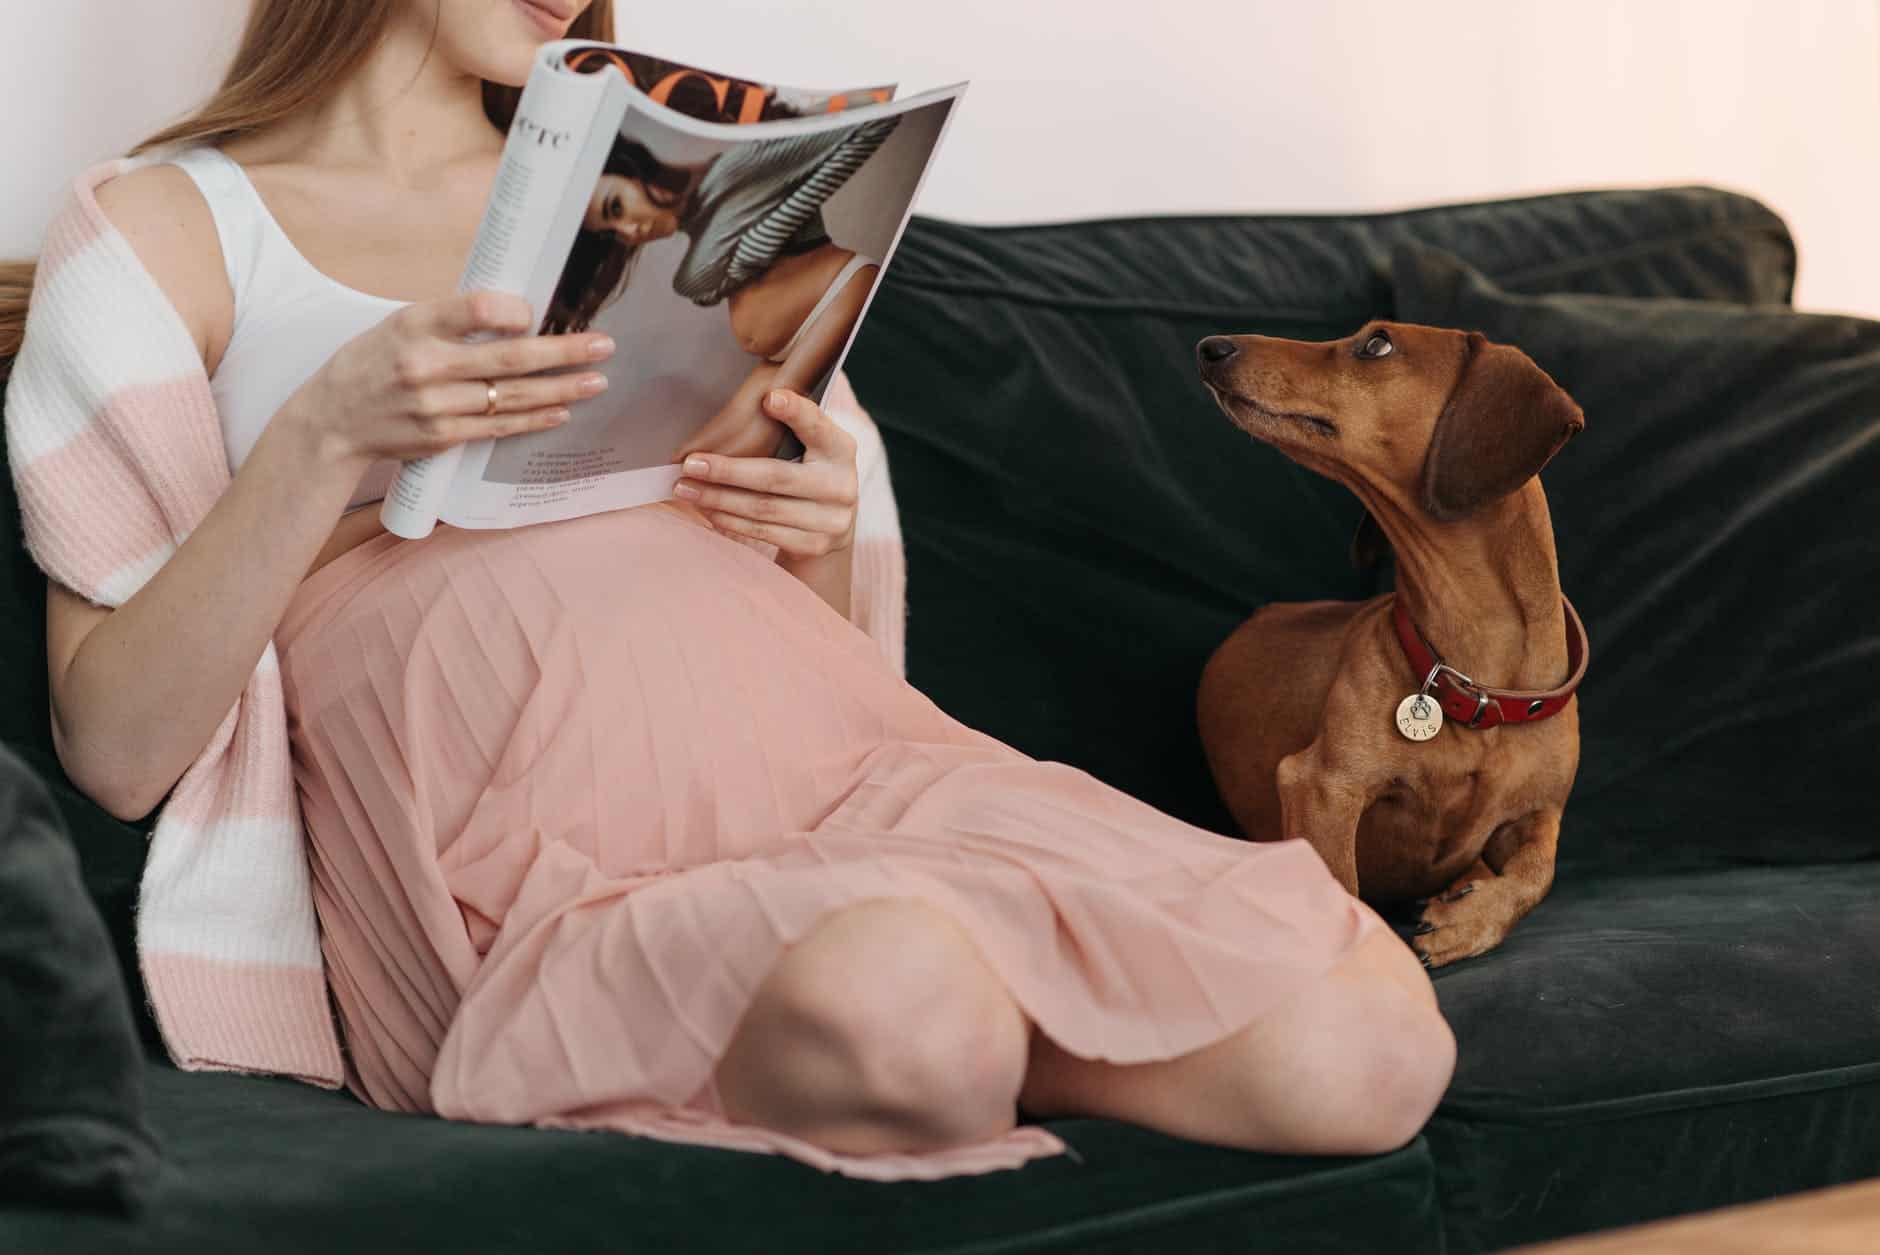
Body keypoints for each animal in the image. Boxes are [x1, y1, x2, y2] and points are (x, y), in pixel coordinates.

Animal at [1188, 319, 1586, 969]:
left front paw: (1466, 920)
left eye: (1377, 344)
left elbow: (1539, 872)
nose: (1209, 348)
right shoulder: (1322, 786)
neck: (1475, 686)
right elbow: (1342, 887)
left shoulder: (1540, 813)